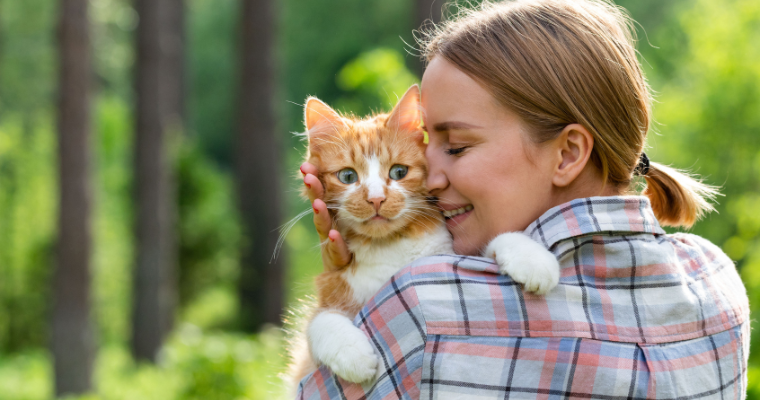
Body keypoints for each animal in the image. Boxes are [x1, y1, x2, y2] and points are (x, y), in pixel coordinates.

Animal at [284, 83, 560, 388]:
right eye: (347, 177)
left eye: (399, 172)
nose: (376, 199)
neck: (390, 247)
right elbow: (319, 323)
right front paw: (353, 356)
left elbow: (496, 241)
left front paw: (533, 260)